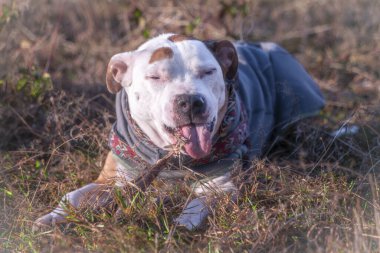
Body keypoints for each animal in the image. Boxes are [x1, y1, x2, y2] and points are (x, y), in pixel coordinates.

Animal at [32, 33, 326, 231]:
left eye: (208, 72)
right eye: (155, 77)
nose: (190, 101)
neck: (171, 157)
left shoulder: (219, 185)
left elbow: (194, 210)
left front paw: (179, 229)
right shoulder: (113, 178)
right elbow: (73, 196)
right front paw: (50, 218)